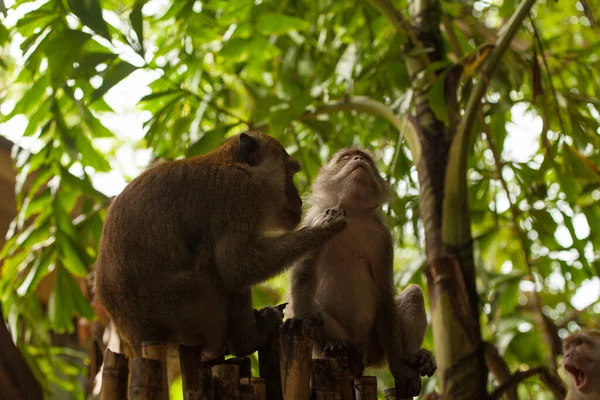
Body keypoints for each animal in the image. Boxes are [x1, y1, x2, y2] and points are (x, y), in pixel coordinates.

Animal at [94, 131, 346, 360]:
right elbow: (237, 268)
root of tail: (139, 339)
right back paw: (246, 341)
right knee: (215, 262)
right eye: (290, 173)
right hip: (192, 308)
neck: (234, 164)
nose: (299, 199)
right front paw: (324, 228)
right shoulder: (238, 193)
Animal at [288, 148, 434, 392]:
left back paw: (414, 358)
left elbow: (385, 292)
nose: (358, 160)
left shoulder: (382, 237)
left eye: (364, 158)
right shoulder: (316, 220)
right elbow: (303, 276)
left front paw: (401, 368)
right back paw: (341, 349)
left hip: (376, 346)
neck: (353, 214)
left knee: (413, 294)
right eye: (347, 157)